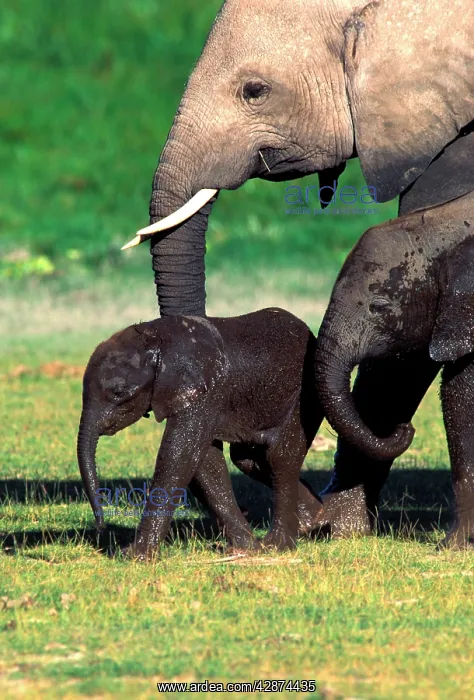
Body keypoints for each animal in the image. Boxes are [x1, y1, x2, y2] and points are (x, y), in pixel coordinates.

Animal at [77, 308, 326, 559]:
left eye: (118, 393)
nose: (101, 526)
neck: (158, 336)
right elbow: (203, 460)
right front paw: (245, 548)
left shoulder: (207, 392)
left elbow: (179, 455)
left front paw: (134, 556)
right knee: (249, 460)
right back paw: (316, 518)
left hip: (304, 396)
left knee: (280, 457)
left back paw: (278, 545)